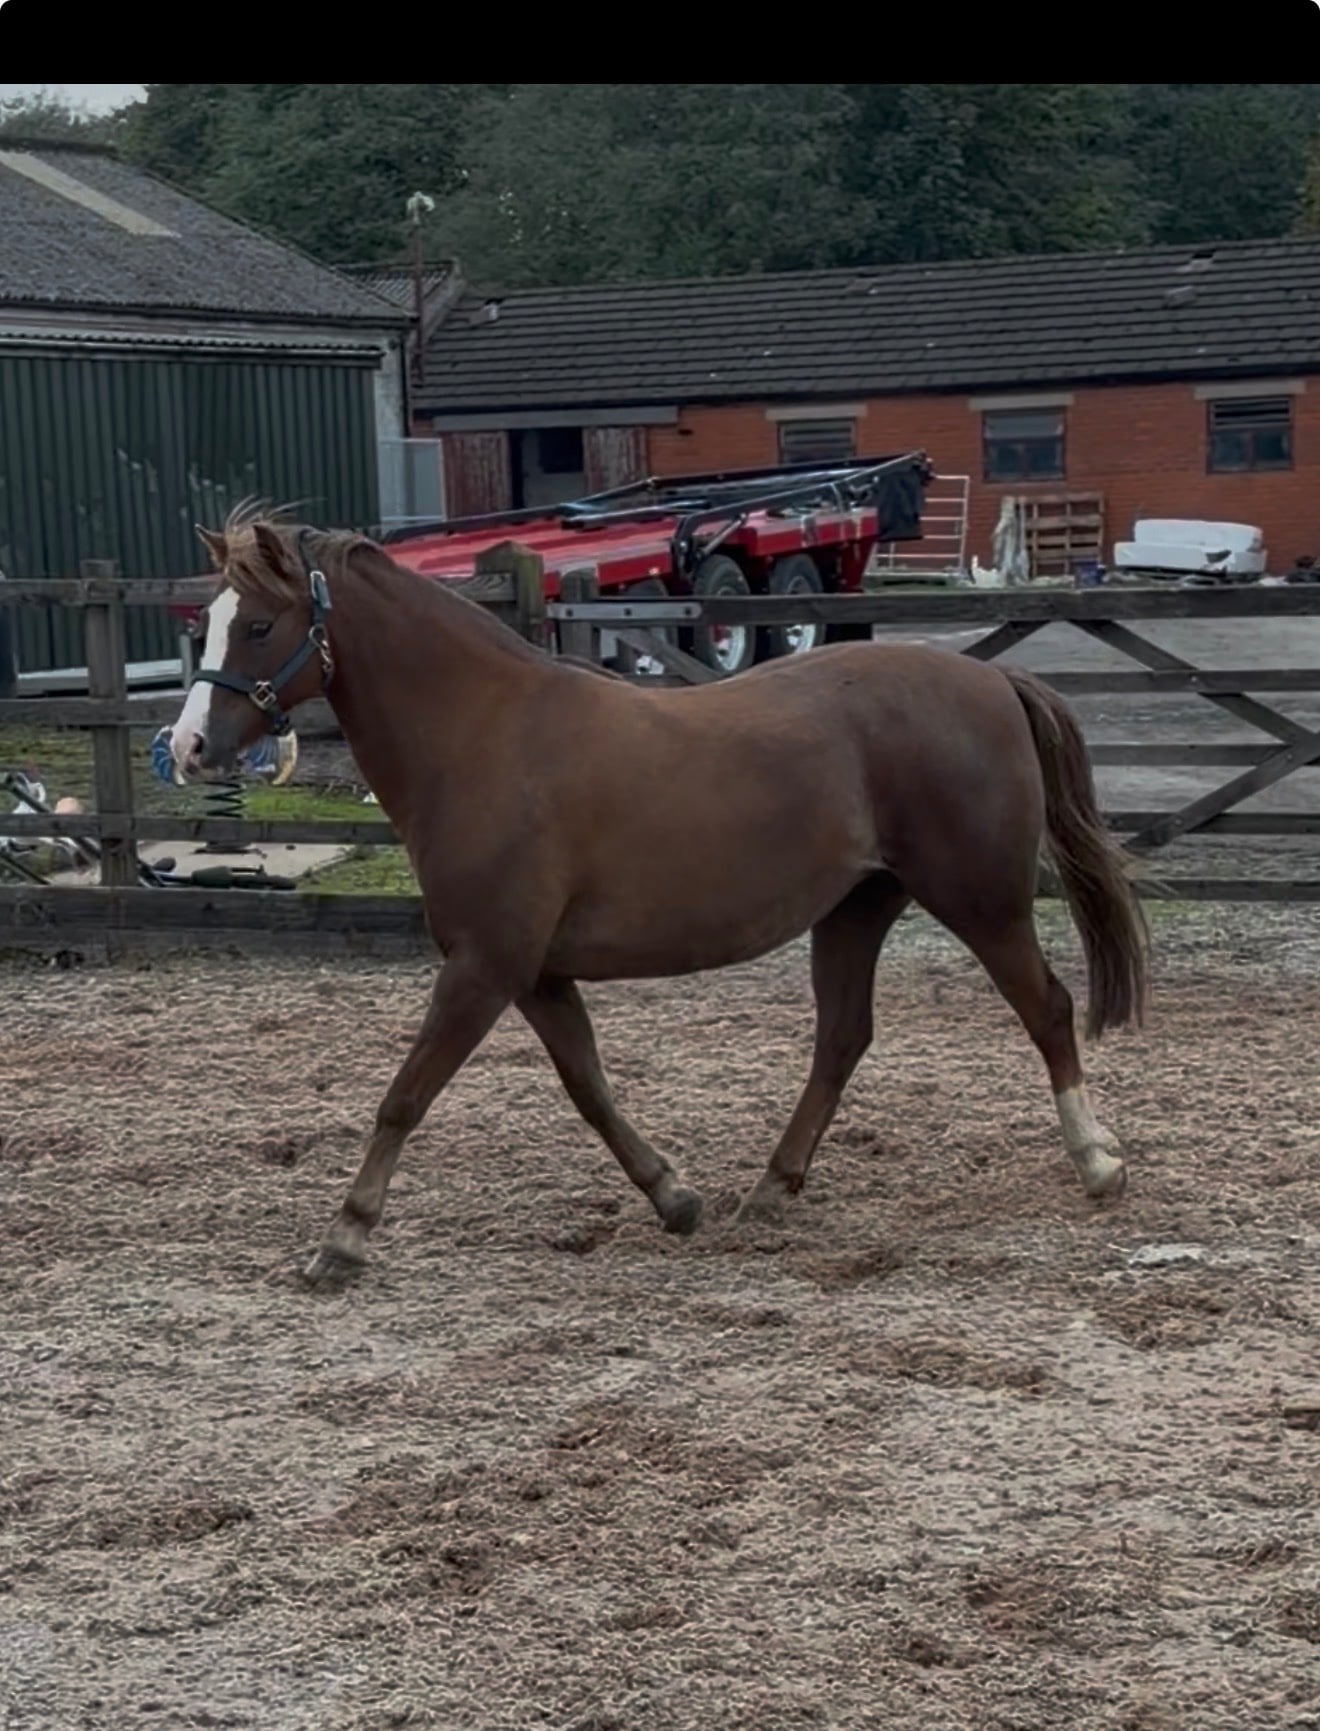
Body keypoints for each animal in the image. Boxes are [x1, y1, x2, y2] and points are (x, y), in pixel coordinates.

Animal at [169, 509, 1149, 1285]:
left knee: (1048, 1008)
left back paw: (1098, 1162)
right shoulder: (533, 974)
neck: (484, 734)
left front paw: (341, 1240)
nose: (186, 746)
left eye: (257, 624)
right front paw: (674, 1197)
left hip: (980, 900)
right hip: (857, 908)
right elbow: (589, 1088)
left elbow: (404, 1096)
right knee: (842, 1038)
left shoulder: (484, 966)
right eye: (205, 626)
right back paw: (771, 1186)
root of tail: (992, 681)